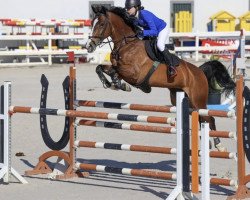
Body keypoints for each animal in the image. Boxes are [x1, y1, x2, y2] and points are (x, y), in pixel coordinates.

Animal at [85, 5, 235, 151]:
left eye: (101, 24)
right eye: (92, 23)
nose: (89, 46)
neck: (126, 44)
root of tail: (200, 71)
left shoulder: (135, 74)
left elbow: (117, 72)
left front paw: (120, 84)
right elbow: (100, 68)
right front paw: (110, 83)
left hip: (198, 100)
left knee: (209, 118)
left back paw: (219, 145)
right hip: (181, 99)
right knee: (200, 119)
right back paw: (206, 144)